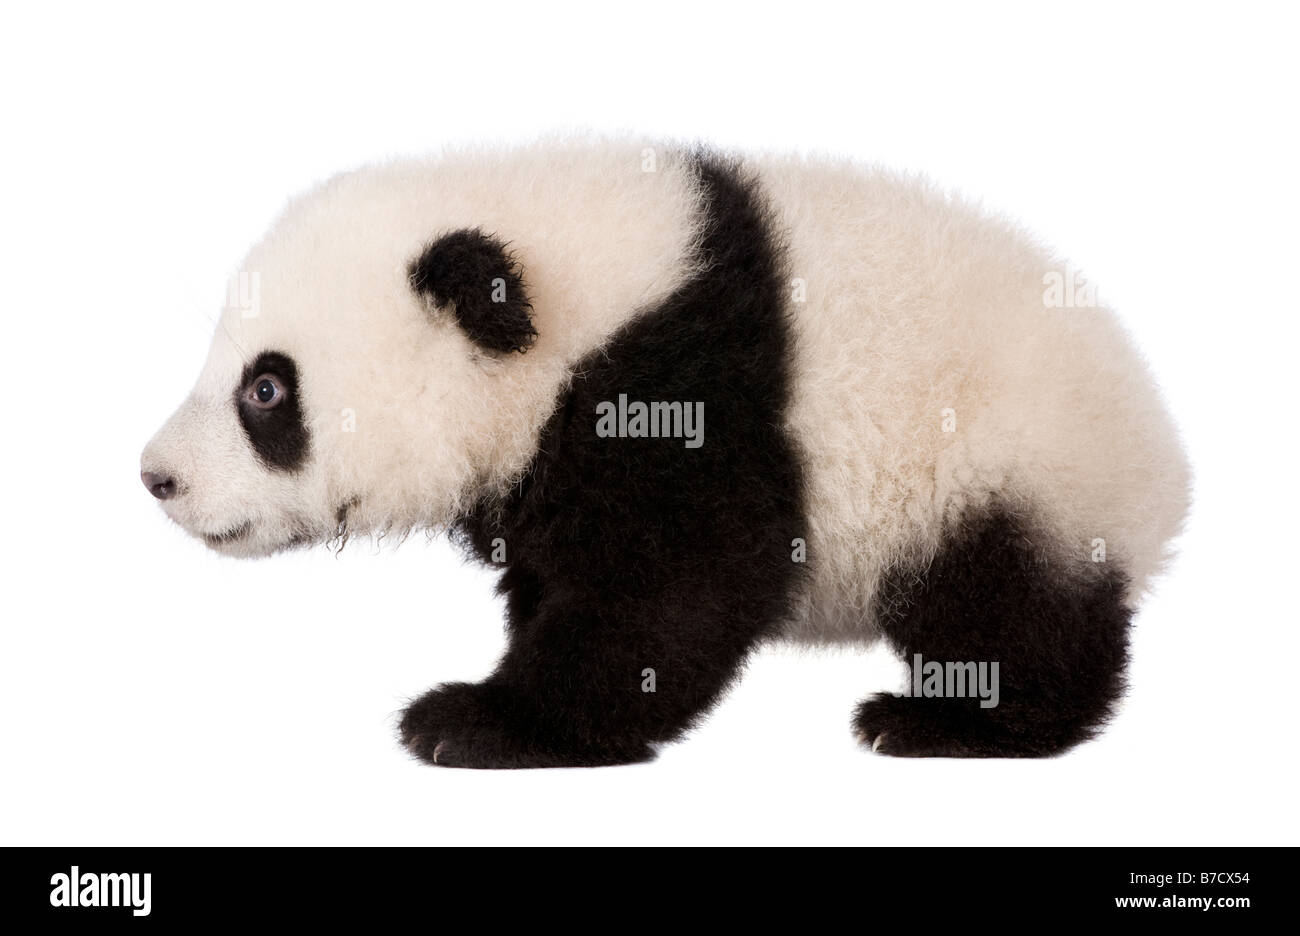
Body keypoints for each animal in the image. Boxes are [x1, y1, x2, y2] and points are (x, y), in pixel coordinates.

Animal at [141, 138, 1190, 767]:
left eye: (265, 391)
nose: (158, 478)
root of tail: (1163, 472)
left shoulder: (677, 391)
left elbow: (673, 591)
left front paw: (480, 720)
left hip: (1014, 465)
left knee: (1007, 610)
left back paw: (944, 721)